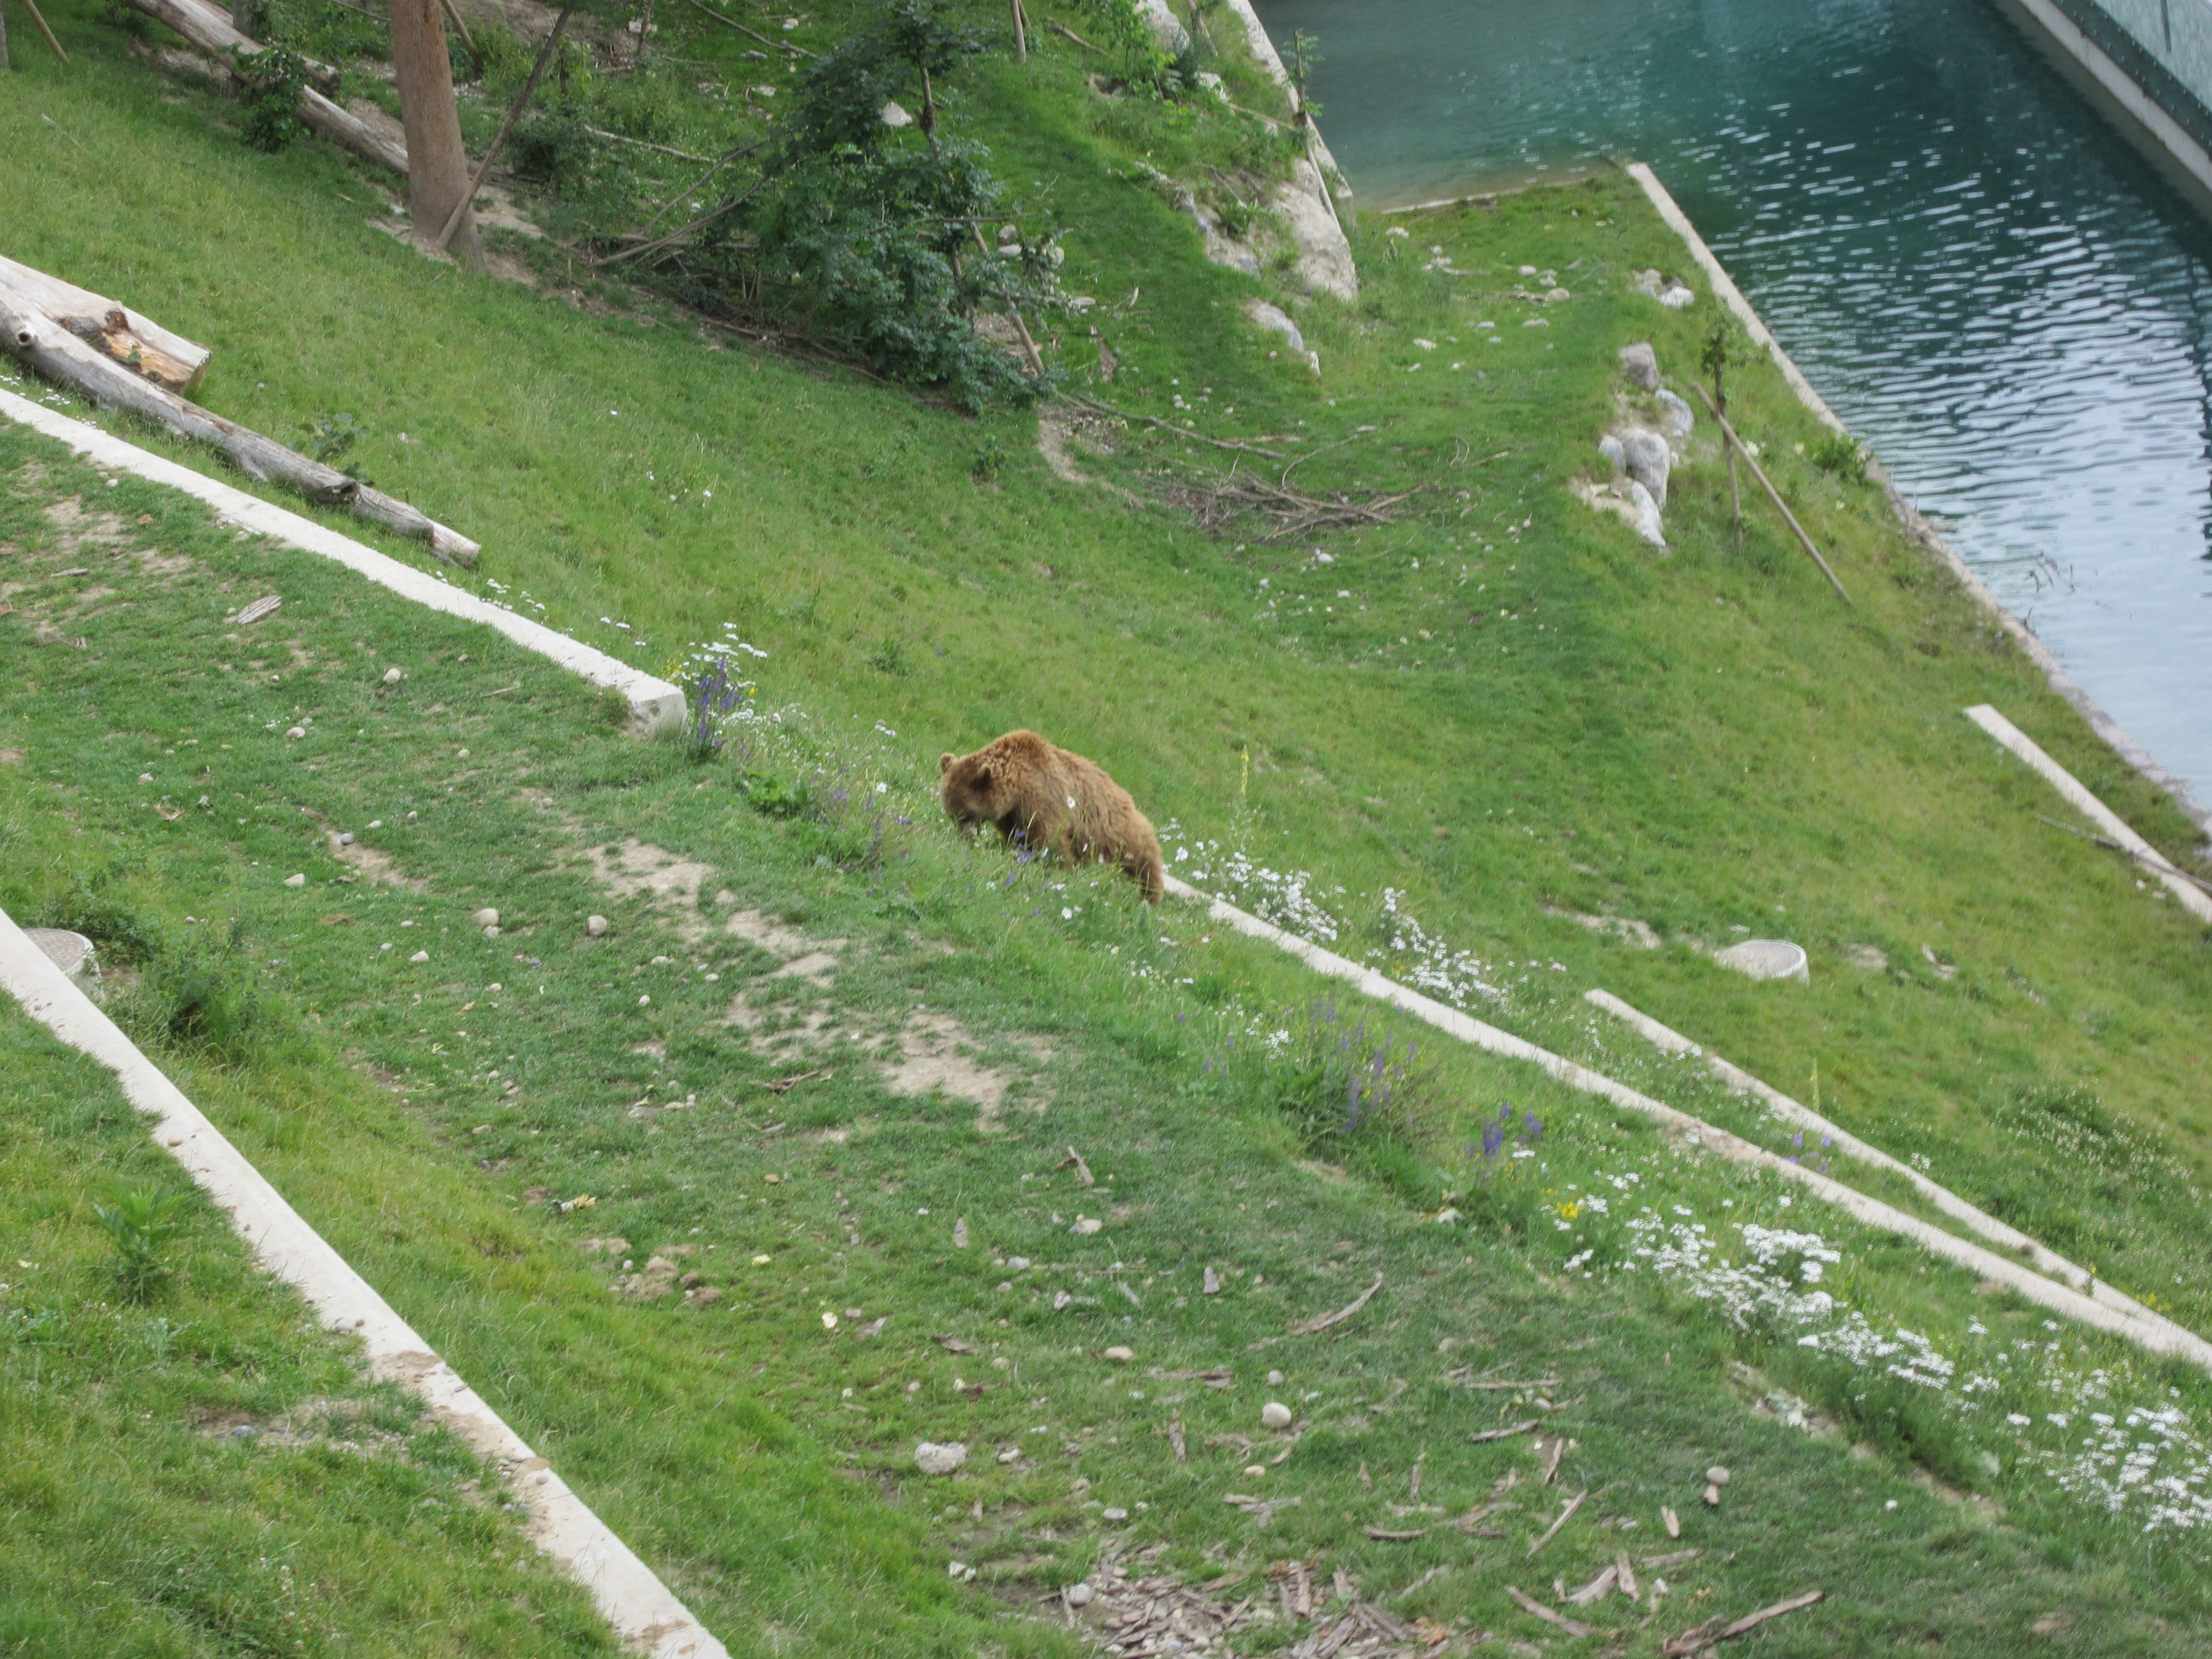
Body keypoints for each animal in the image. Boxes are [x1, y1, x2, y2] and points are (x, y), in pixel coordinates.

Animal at [938, 730, 1168, 902]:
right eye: (952, 815)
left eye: (966, 814)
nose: (965, 836)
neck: (1018, 786)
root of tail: (1131, 800)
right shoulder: (1012, 814)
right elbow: (1017, 836)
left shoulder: (1044, 797)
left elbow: (1049, 838)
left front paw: (1059, 869)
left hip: (1120, 832)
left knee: (1144, 864)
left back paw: (1150, 898)